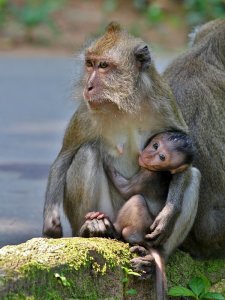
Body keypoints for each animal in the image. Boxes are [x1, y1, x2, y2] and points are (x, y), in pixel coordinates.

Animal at [43, 21, 200, 274]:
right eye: (90, 64)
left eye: (104, 66)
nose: (88, 86)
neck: (127, 101)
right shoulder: (86, 113)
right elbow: (65, 157)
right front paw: (51, 222)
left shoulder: (164, 101)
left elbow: (187, 161)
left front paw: (169, 213)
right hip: (108, 212)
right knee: (86, 153)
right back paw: (91, 229)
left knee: (194, 175)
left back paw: (155, 256)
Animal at [82, 132, 195, 300]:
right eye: (155, 145)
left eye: (162, 157)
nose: (148, 155)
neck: (163, 172)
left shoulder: (148, 175)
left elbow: (125, 189)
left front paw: (107, 160)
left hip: (143, 227)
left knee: (136, 200)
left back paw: (113, 230)